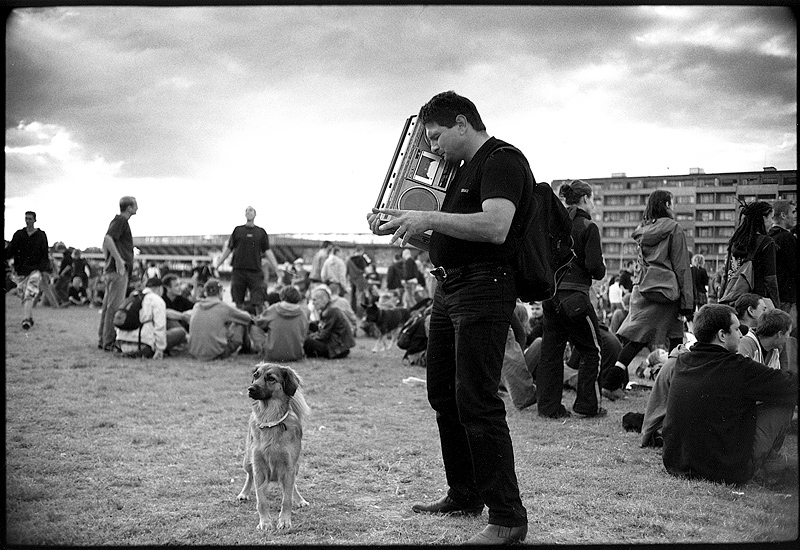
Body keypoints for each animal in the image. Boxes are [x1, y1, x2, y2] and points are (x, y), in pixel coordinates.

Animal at [236, 362, 310, 532]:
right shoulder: (258, 466)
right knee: (249, 476)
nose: (250, 389)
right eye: (255, 375)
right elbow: (261, 501)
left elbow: (287, 499)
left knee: (292, 486)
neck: (270, 421)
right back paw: (244, 493)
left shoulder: (289, 467)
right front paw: (265, 522)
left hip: (296, 466)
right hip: (247, 460)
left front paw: (284, 521)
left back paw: (299, 499)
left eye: (271, 378)